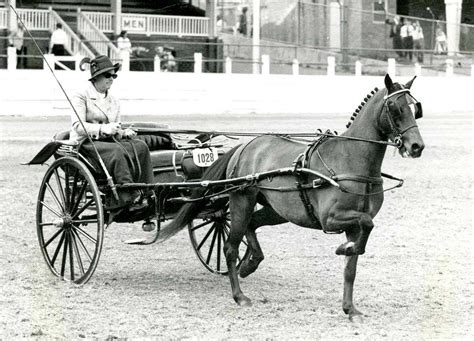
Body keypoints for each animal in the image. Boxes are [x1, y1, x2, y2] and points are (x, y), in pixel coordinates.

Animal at [157, 73, 424, 318]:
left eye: (415, 108)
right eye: (394, 107)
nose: (416, 147)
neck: (349, 159)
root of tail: (245, 147)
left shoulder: (353, 224)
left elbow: (353, 264)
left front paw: (350, 307)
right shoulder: (330, 219)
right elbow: (366, 226)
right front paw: (343, 249)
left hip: (276, 210)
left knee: (252, 226)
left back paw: (251, 263)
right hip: (242, 201)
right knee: (231, 247)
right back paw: (240, 295)